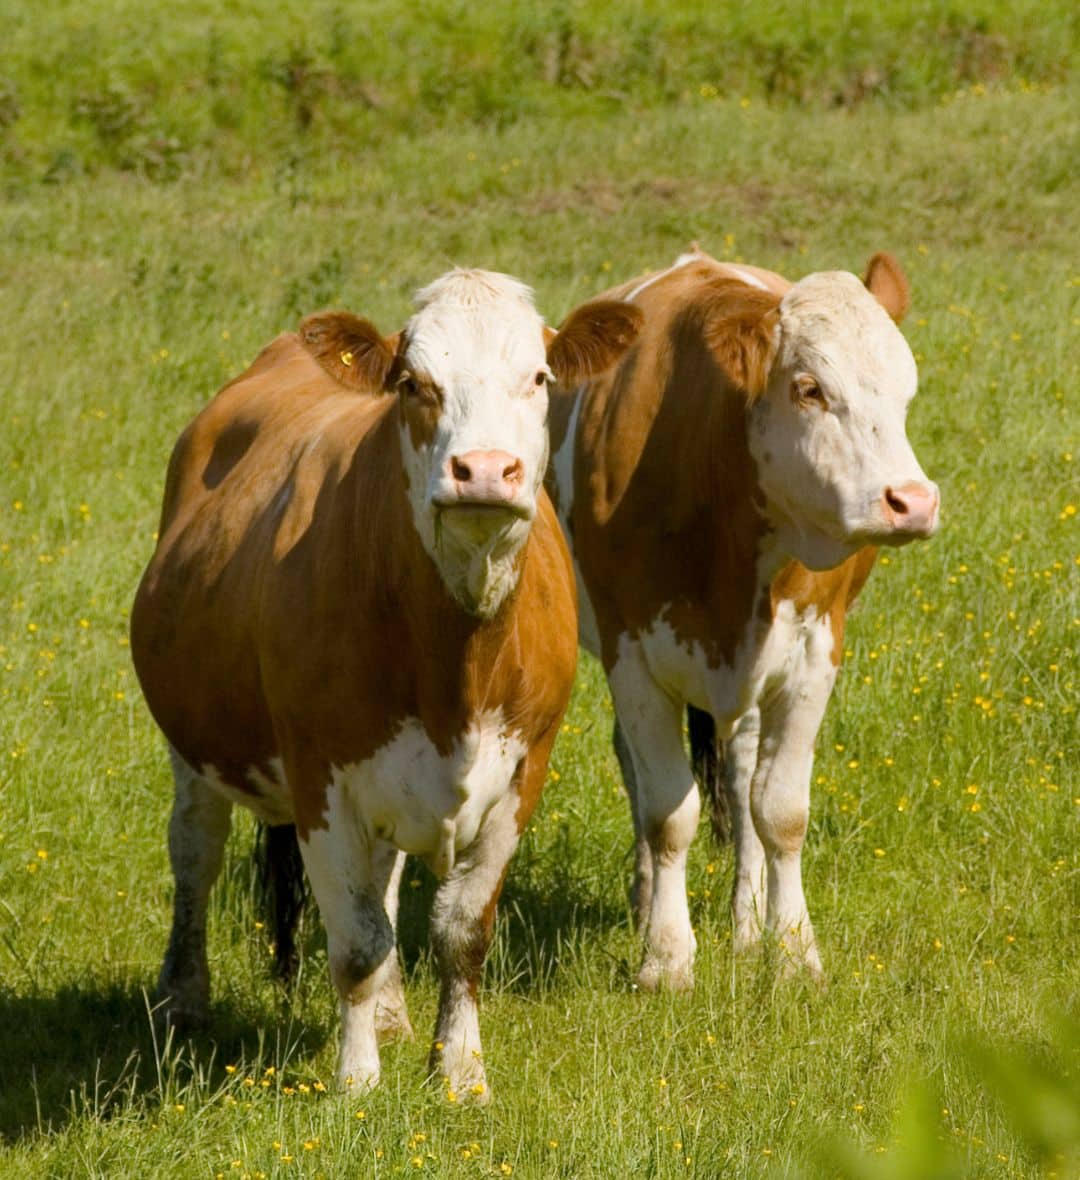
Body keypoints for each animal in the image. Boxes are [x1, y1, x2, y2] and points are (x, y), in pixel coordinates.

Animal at [131, 269, 642, 1099]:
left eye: (539, 377)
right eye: (413, 383)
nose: (484, 471)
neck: (455, 660)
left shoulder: (521, 774)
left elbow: (461, 930)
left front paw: (458, 1071)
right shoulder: (320, 781)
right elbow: (356, 941)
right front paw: (356, 1080)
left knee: (387, 881)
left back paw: (395, 1015)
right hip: (194, 744)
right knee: (196, 856)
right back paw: (183, 997)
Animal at [546, 246, 939, 991]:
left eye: (906, 392)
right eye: (810, 388)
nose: (912, 501)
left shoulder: (814, 654)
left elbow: (779, 811)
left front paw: (792, 951)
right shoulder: (632, 656)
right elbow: (667, 812)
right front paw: (666, 958)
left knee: (742, 774)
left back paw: (748, 925)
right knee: (640, 776)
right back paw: (649, 901)